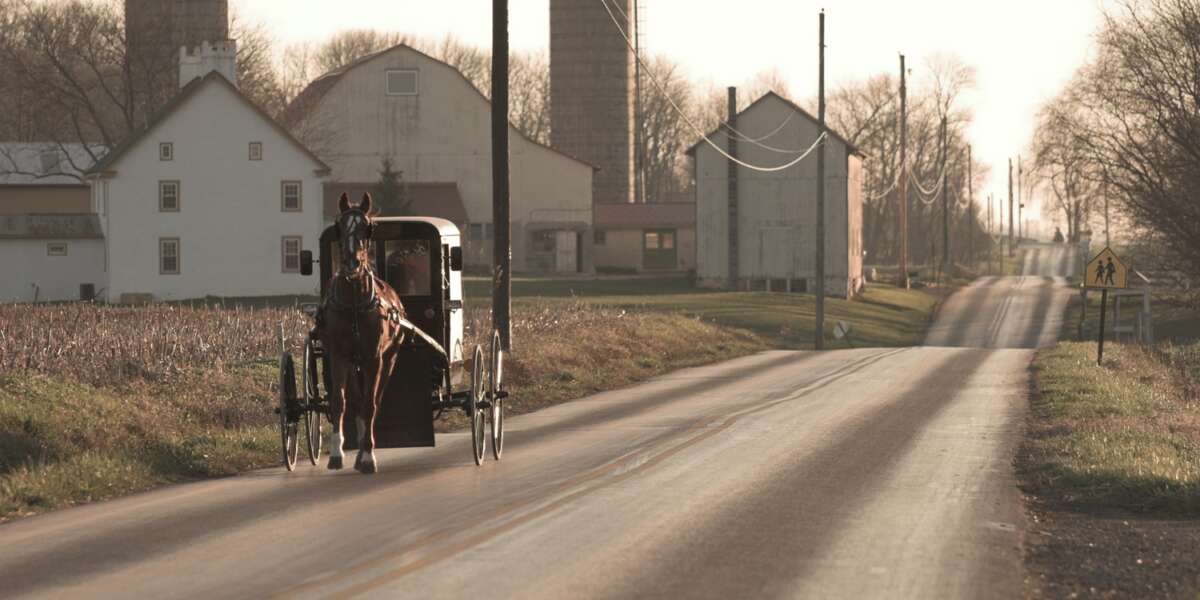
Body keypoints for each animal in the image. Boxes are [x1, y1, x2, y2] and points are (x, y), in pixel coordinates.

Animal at [321, 192, 410, 472]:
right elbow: (339, 402)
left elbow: (371, 405)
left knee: (374, 402)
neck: (353, 304)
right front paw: (336, 453)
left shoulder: (374, 358)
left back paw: (364, 452)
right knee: (357, 402)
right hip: (354, 364)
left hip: (389, 359)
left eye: (367, 227)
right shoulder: (339, 357)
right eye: (339, 226)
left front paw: (368, 455)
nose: (352, 262)